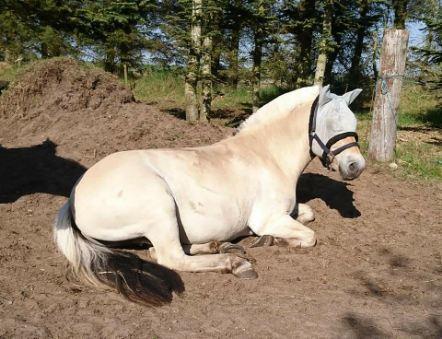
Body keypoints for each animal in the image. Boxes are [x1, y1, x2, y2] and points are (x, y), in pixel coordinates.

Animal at [54, 84, 366, 306]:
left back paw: (223, 246)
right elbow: (309, 236)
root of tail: (74, 195)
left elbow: (309, 215)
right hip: (160, 207)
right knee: (169, 256)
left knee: (164, 249)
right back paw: (235, 262)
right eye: (331, 123)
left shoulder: (285, 212)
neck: (265, 155)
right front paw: (271, 240)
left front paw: (265, 240)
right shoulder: (268, 219)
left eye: (353, 123)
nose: (356, 166)